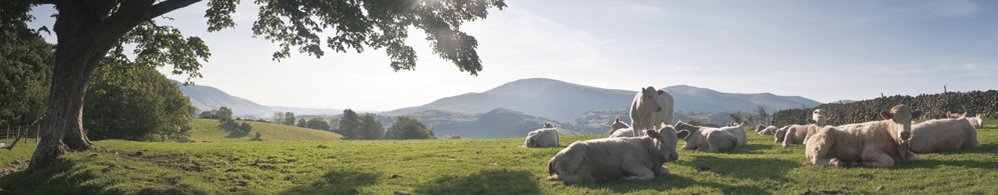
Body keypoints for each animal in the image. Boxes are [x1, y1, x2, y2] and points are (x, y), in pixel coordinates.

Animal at [552, 126, 684, 183]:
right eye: (662, 140)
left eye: (676, 141)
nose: (673, 155)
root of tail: (554, 157)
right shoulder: (629, 163)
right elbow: (650, 175)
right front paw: (626, 177)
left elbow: (666, 170)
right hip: (575, 156)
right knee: (564, 177)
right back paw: (588, 177)